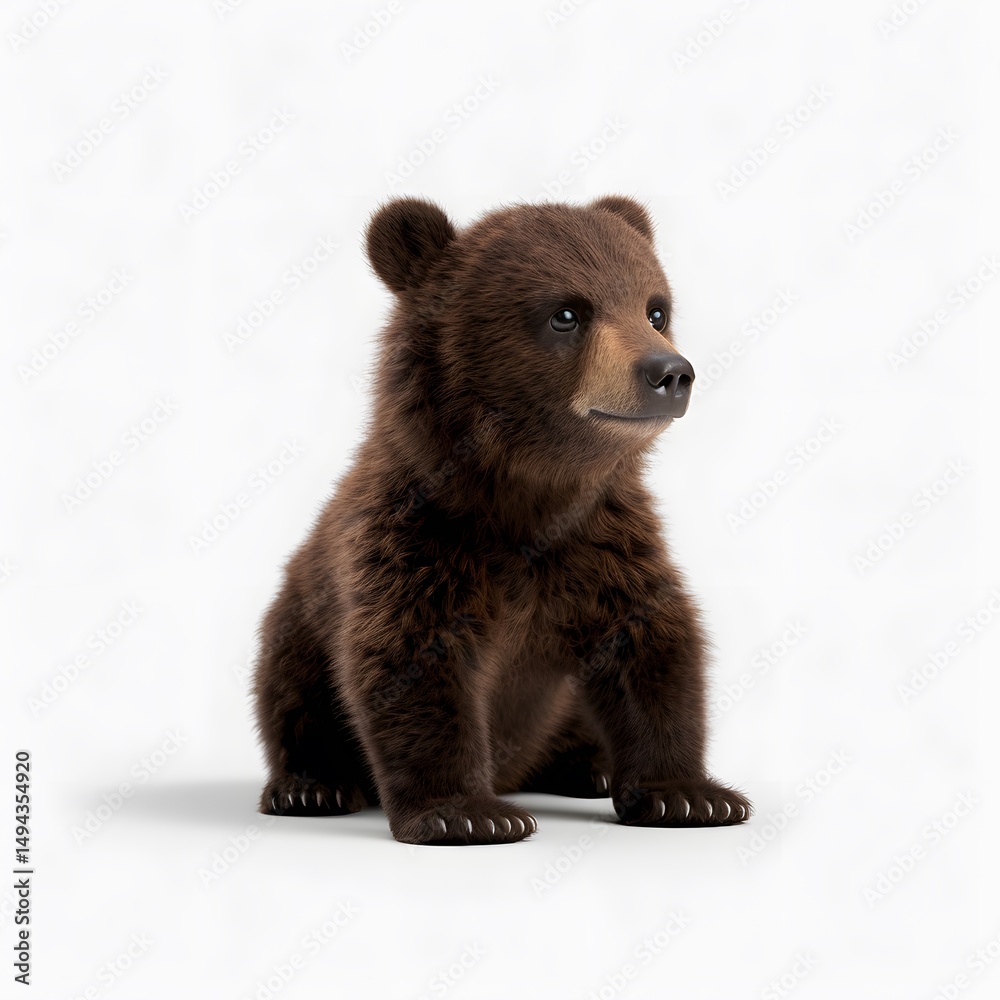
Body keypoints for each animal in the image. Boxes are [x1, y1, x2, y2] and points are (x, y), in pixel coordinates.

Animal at [252, 194, 752, 844]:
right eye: (566, 313)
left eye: (656, 309)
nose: (669, 373)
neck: (527, 494)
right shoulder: (419, 544)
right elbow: (411, 659)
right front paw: (467, 812)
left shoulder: (603, 550)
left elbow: (653, 649)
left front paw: (690, 796)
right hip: (298, 622)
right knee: (292, 691)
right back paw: (311, 786)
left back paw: (587, 768)